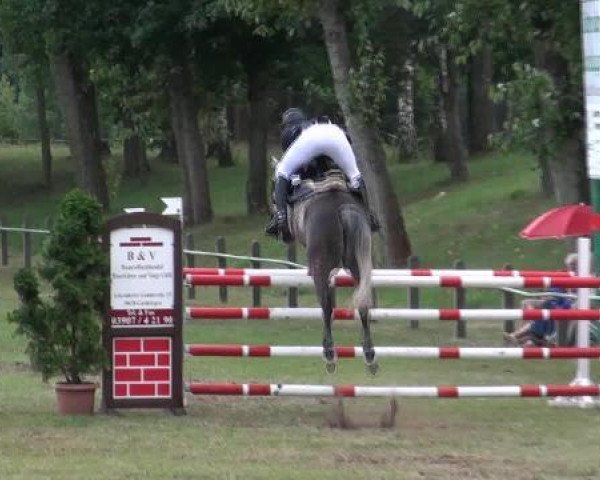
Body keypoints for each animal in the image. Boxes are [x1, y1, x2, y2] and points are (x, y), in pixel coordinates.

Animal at [284, 172, 378, 376]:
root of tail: (342, 209)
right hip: (358, 265)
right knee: (363, 304)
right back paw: (369, 355)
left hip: (321, 267)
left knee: (326, 307)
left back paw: (329, 354)